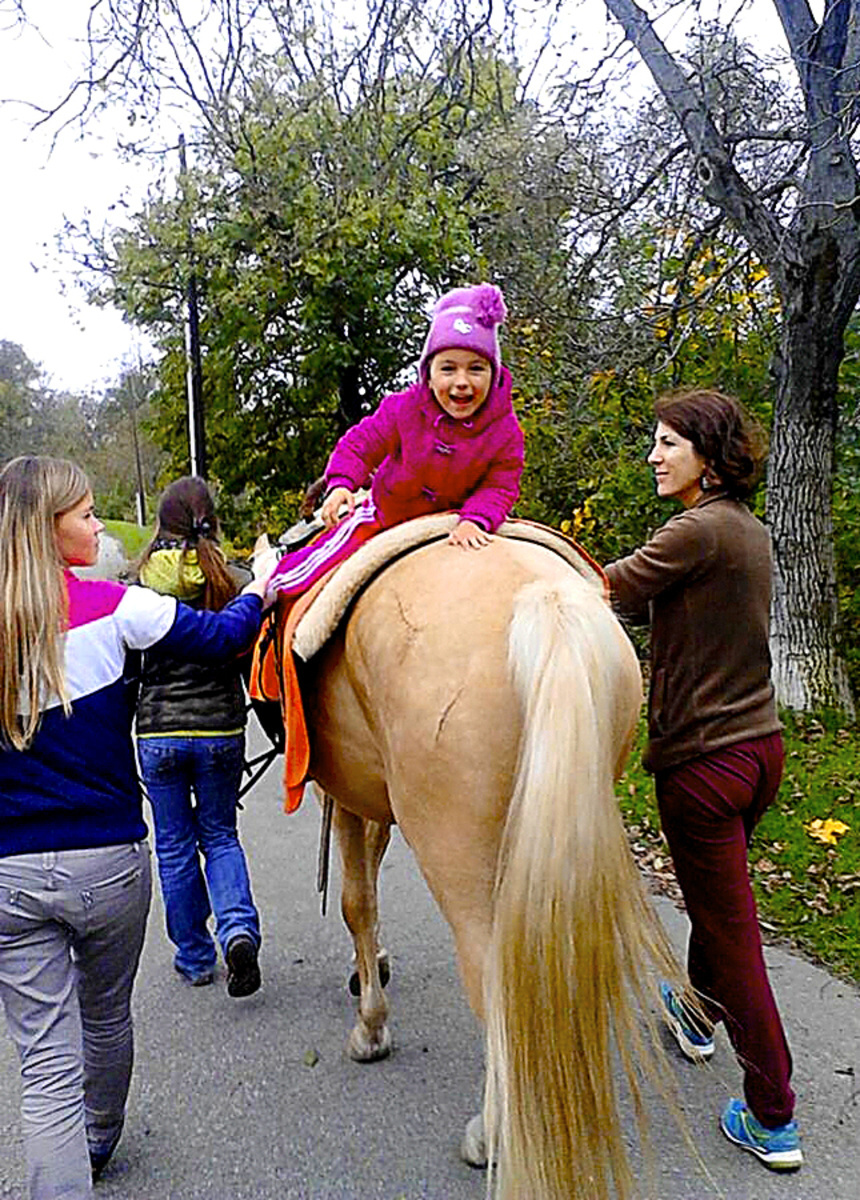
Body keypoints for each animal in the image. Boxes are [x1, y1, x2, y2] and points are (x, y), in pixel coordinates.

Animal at [272, 525, 686, 1200]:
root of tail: (543, 602)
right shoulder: (374, 800)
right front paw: (373, 969)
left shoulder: (348, 799)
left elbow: (358, 904)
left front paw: (371, 1025)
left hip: (458, 865)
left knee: (495, 988)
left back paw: (491, 1136)